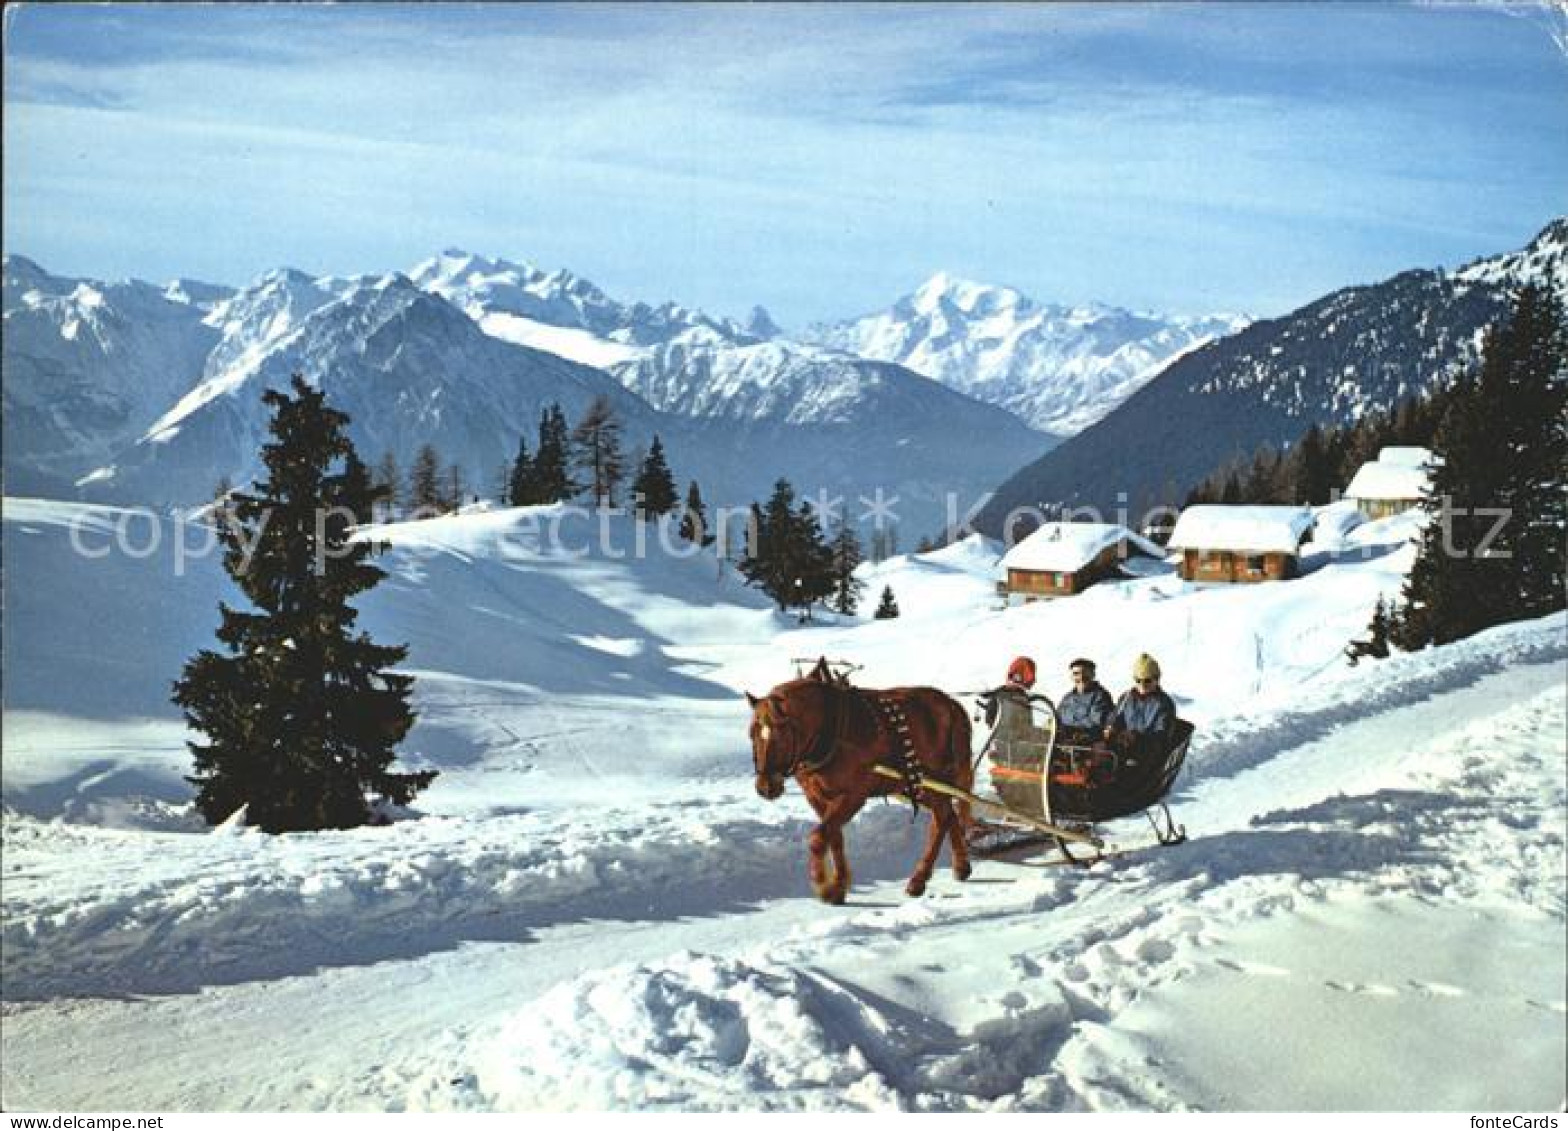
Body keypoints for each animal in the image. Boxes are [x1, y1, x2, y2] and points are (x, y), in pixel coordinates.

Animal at [743, 671, 965, 897]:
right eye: (751, 734)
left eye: (780, 735)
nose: (765, 787)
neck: (829, 730)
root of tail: (950, 703)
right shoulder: (817, 797)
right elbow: (833, 836)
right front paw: (839, 884)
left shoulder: (853, 795)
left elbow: (818, 837)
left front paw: (823, 885)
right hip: (919, 786)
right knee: (949, 814)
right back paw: (961, 866)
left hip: (932, 782)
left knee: (941, 818)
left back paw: (919, 879)